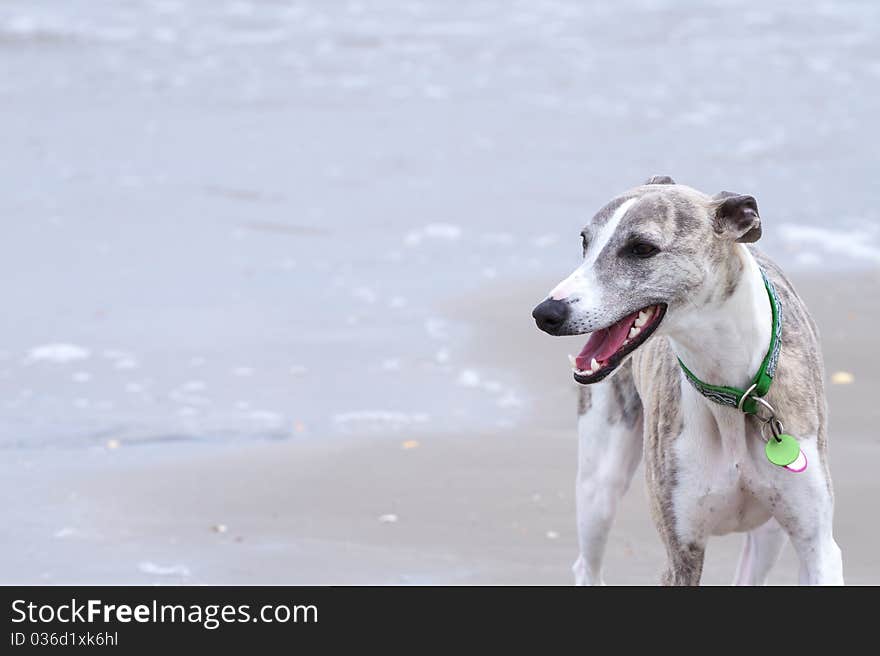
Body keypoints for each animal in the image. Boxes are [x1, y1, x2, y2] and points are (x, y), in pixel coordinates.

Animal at [532, 177, 844, 588]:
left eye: (642, 248)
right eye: (585, 241)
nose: (545, 313)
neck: (733, 394)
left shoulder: (818, 545)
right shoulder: (682, 550)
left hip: (771, 534)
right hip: (599, 484)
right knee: (587, 564)